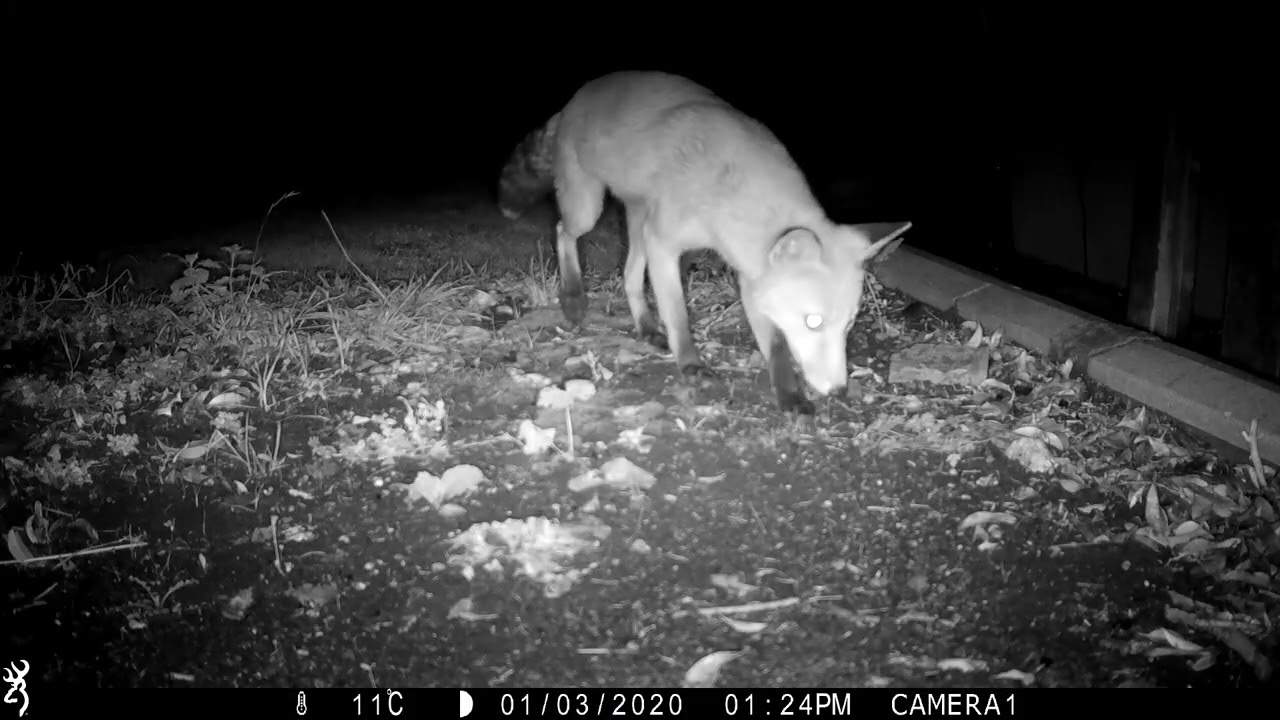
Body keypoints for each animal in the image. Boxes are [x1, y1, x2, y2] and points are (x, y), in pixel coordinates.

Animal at [497, 71, 911, 414]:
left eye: (849, 323)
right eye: (812, 321)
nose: (839, 391)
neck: (724, 190)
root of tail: (578, 95)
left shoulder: (750, 276)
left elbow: (776, 347)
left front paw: (788, 395)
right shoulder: (665, 243)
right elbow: (678, 316)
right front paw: (690, 363)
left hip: (639, 221)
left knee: (629, 277)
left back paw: (645, 326)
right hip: (590, 208)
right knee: (563, 231)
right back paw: (572, 295)